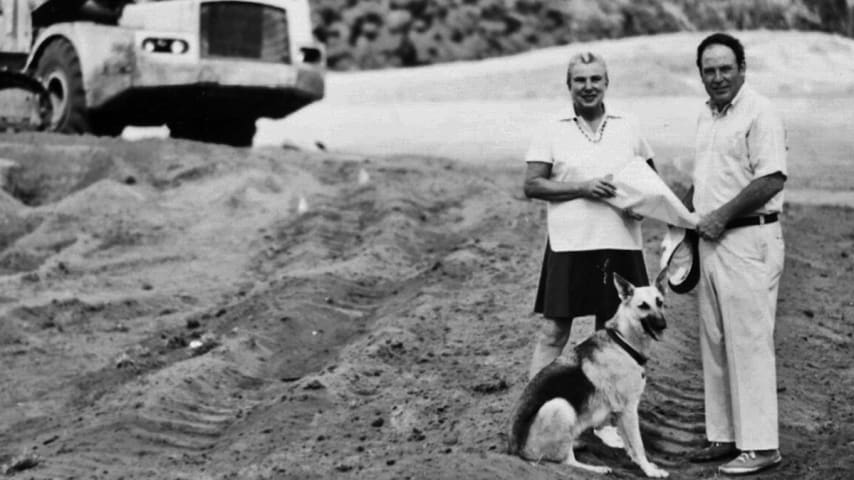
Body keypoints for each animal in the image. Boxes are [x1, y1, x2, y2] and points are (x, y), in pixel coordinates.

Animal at [508, 272, 668, 478]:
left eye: (660, 302)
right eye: (643, 306)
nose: (663, 325)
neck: (622, 342)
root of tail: (515, 451)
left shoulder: (622, 413)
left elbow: (630, 446)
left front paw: (642, 465)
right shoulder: (629, 410)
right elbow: (638, 445)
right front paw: (649, 470)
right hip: (560, 406)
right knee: (566, 462)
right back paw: (596, 469)